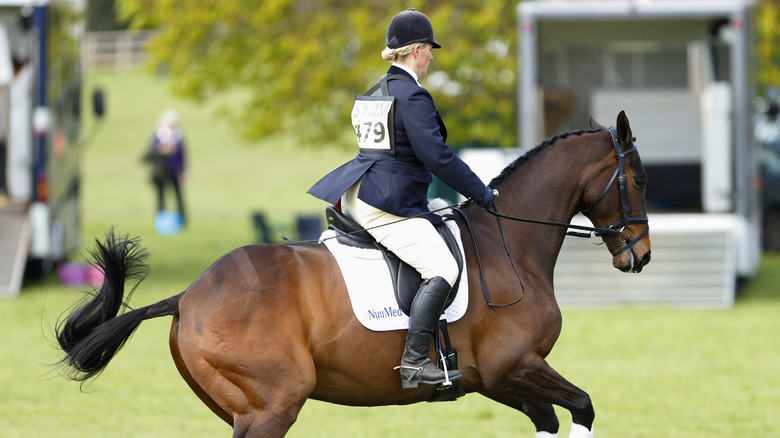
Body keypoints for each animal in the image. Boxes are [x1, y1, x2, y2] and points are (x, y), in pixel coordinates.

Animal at [56, 111, 652, 436]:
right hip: (272, 406)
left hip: (242, 410)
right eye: (640, 180)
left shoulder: (499, 380)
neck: (511, 244)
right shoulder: (516, 365)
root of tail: (187, 295)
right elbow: (583, 405)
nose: (640, 256)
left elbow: (552, 419)